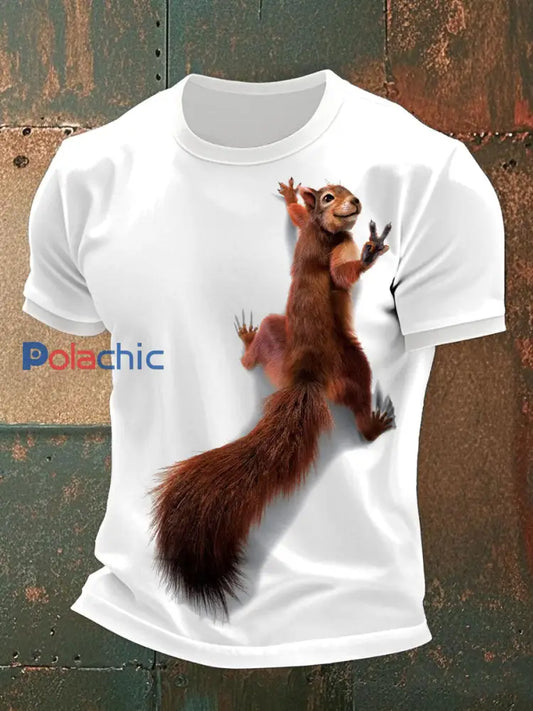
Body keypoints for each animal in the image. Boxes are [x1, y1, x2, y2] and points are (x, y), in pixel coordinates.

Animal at [148, 178, 396, 619]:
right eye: (329, 196)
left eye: (345, 189)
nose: (355, 202)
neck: (323, 231)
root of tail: (305, 378)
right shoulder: (336, 251)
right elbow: (342, 275)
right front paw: (369, 253)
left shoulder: (307, 230)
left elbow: (295, 218)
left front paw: (291, 196)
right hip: (353, 363)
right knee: (361, 407)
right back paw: (373, 424)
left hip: (276, 341)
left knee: (254, 356)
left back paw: (248, 344)